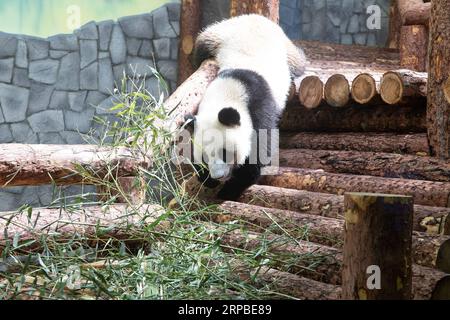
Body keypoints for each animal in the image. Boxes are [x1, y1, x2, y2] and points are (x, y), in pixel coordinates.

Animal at [183, 15, 306, 200]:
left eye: (224, 152)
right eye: (205, 156)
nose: (218, 175)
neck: (230, 88)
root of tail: (253, 16)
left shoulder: (259, 107)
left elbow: (259, 151)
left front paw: (229, 190)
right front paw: (206, 178)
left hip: (285, 48)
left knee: (298, 63)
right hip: (216, 35)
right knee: (200, 49)